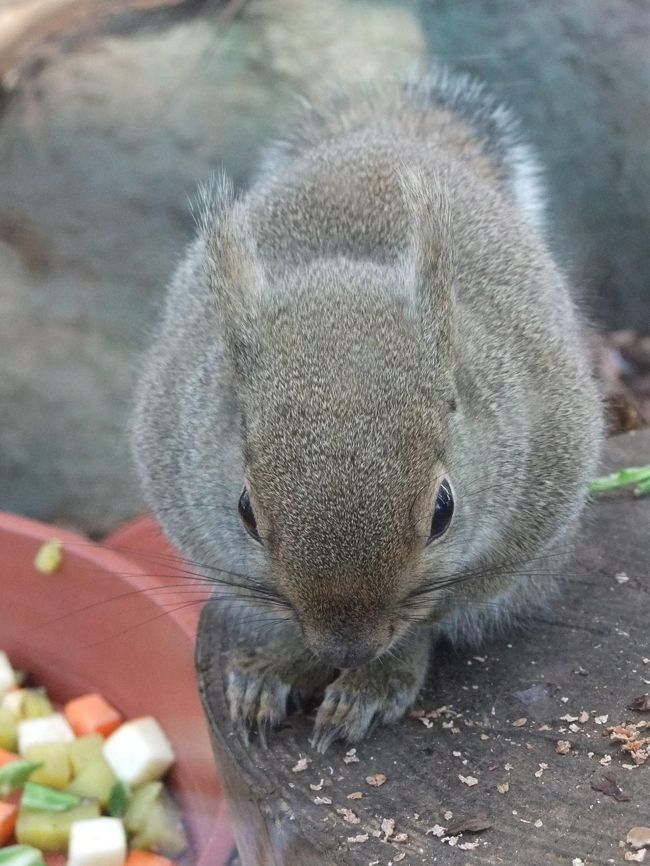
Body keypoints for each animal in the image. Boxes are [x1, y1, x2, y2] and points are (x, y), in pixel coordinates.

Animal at [130, 71, 604, 748]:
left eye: (443, 510)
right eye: (245, 511)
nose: (346, 649)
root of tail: (384, 135)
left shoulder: (518, 538)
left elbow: (432, 616)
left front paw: (375, 680)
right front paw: (283, 664)